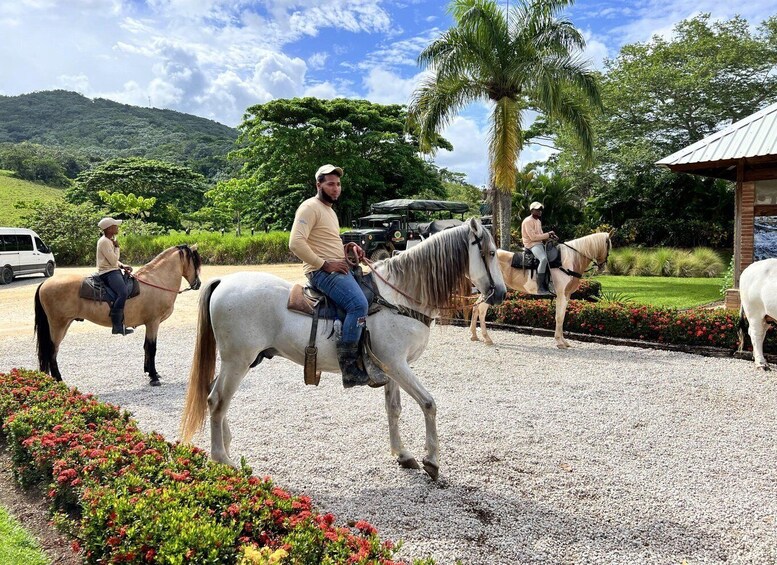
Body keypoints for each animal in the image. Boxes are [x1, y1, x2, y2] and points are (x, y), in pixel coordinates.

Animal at [36, 243, 200, 384]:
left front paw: (149, 371)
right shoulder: (153, 322)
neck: (156, 281)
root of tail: (45, 283)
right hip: (58, 325)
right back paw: (58, 379)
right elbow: (152, 348)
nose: (197, 284)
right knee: (52, 351)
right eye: (196, 262)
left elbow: (146, 346)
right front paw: (153, 376)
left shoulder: (149, 324)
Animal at [179, 218, 506, 478]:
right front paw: (432, 461)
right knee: (217, 401)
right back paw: (222, 459)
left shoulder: (390, 368)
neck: (398, 297)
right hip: (238, 360)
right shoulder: (397, 364)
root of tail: (223, 282)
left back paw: (226, 445)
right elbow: (428, 403)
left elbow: (394, 409)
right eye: (490, 253)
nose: (500, 294)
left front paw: (402, 455)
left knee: (215, 396)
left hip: (240, 361)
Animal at [466, 230, 612, 346]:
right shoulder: (561, 295)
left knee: (475, 307)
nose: (602, 267)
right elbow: (559, 317)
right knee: (481, 310)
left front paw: (564, 341)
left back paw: (474, 335)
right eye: (609, 246)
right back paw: (487, 338)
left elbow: (562, 317)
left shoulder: (567, 295)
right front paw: (559, 342)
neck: (568, 261)